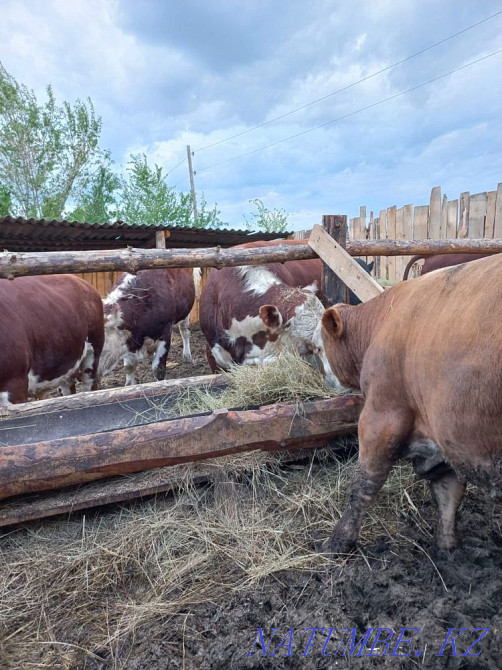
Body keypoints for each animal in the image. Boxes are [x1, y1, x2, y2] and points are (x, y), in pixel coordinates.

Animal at [313, 254, 502, 554]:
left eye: (319, 348)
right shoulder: (443, 437)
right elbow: (448, 496)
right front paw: (447, 548)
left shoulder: (380, 418)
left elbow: (363, 485)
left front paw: (337, 542)